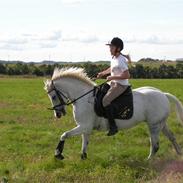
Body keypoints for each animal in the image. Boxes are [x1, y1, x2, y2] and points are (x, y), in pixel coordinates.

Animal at [44, 67, 183, 160]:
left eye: (53, 96)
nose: (58, 114)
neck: (84, 98)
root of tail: (163, 94)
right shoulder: (85, 127)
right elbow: (84, 143)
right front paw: (83, 158)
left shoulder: (84, 126)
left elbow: (64, 135)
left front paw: (58, 154)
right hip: (161, 123)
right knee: (171, 137)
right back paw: (179, 153)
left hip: (153, 125)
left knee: (155, 145)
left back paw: (148, 161)